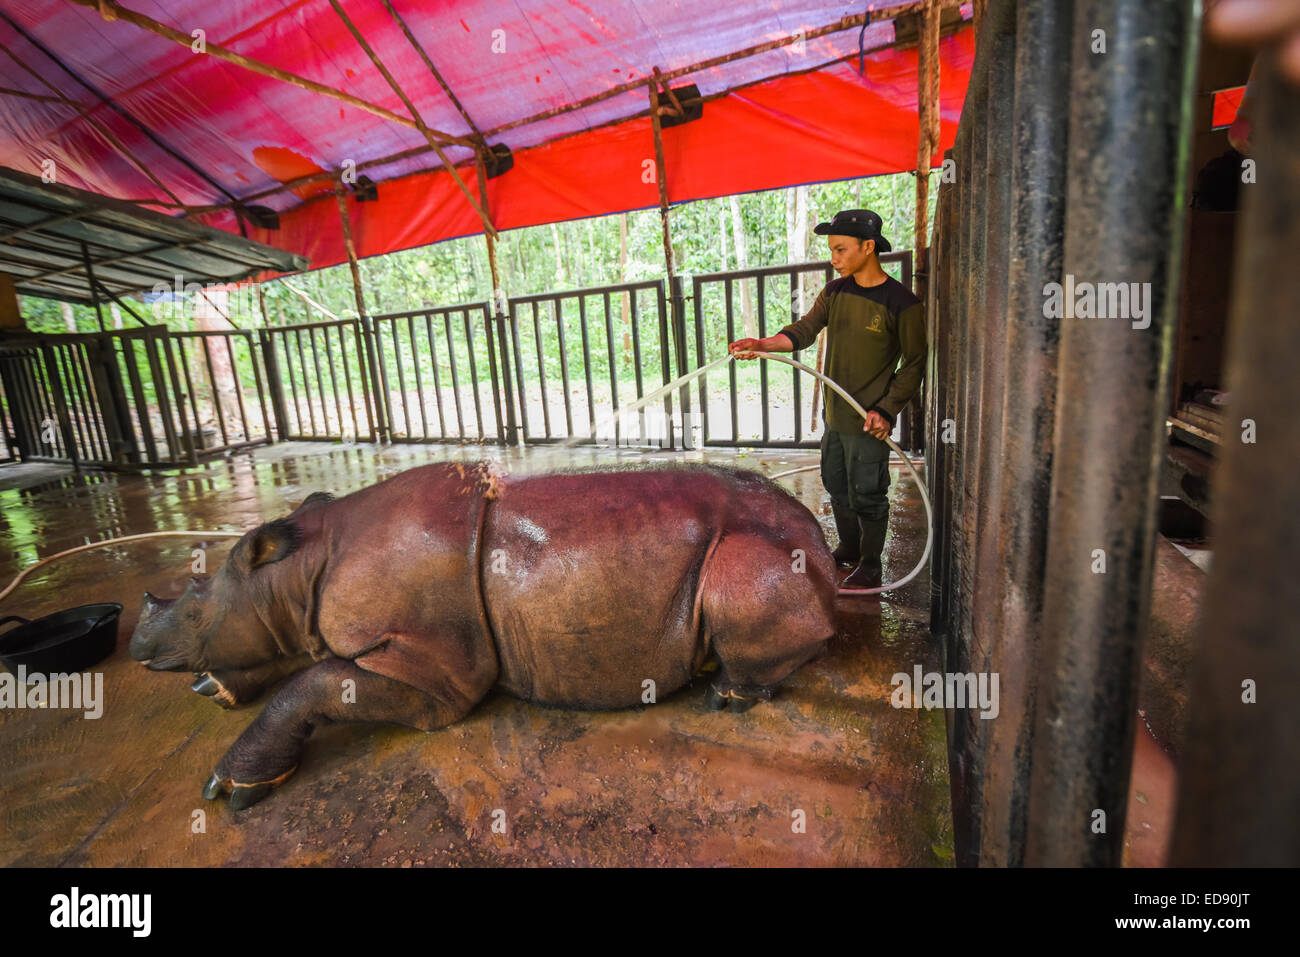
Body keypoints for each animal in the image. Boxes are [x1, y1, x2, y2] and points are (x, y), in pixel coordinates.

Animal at [131, 462, 837, 806]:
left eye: (193, 609)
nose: (137, 645)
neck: (297, 572)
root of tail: (823, 539)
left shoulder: (438, 677)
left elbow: (318, 682)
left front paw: (234, 790)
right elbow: (300, 661)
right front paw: (215, 688)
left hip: (760, 552)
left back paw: (729, 695)